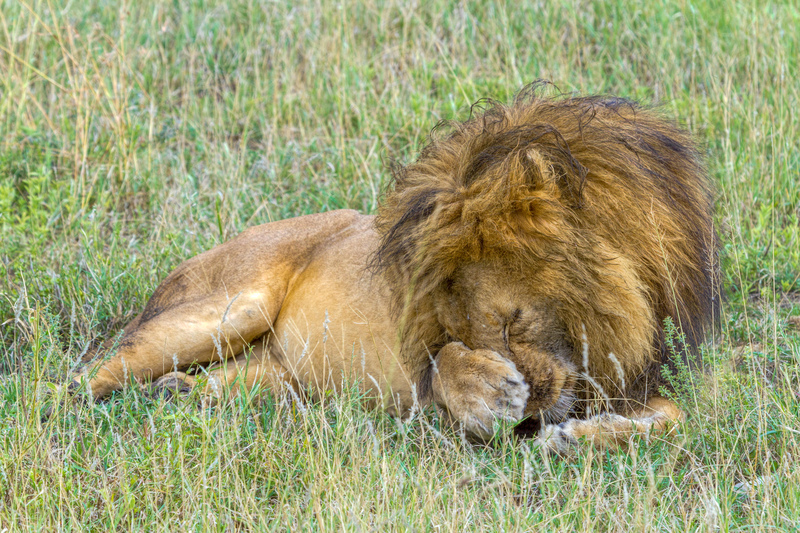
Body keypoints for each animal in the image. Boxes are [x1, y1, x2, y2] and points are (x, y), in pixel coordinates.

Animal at [69, 87, 720, 454]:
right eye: (478, 330)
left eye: (512, 321)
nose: (533, 411)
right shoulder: (427, 382)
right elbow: (444, 369)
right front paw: (489, 394)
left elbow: (677, 418)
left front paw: (577, 437)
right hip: (228, 308)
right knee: (88, 375)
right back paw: (65, 415)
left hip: (281, 378)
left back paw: (178, 393)